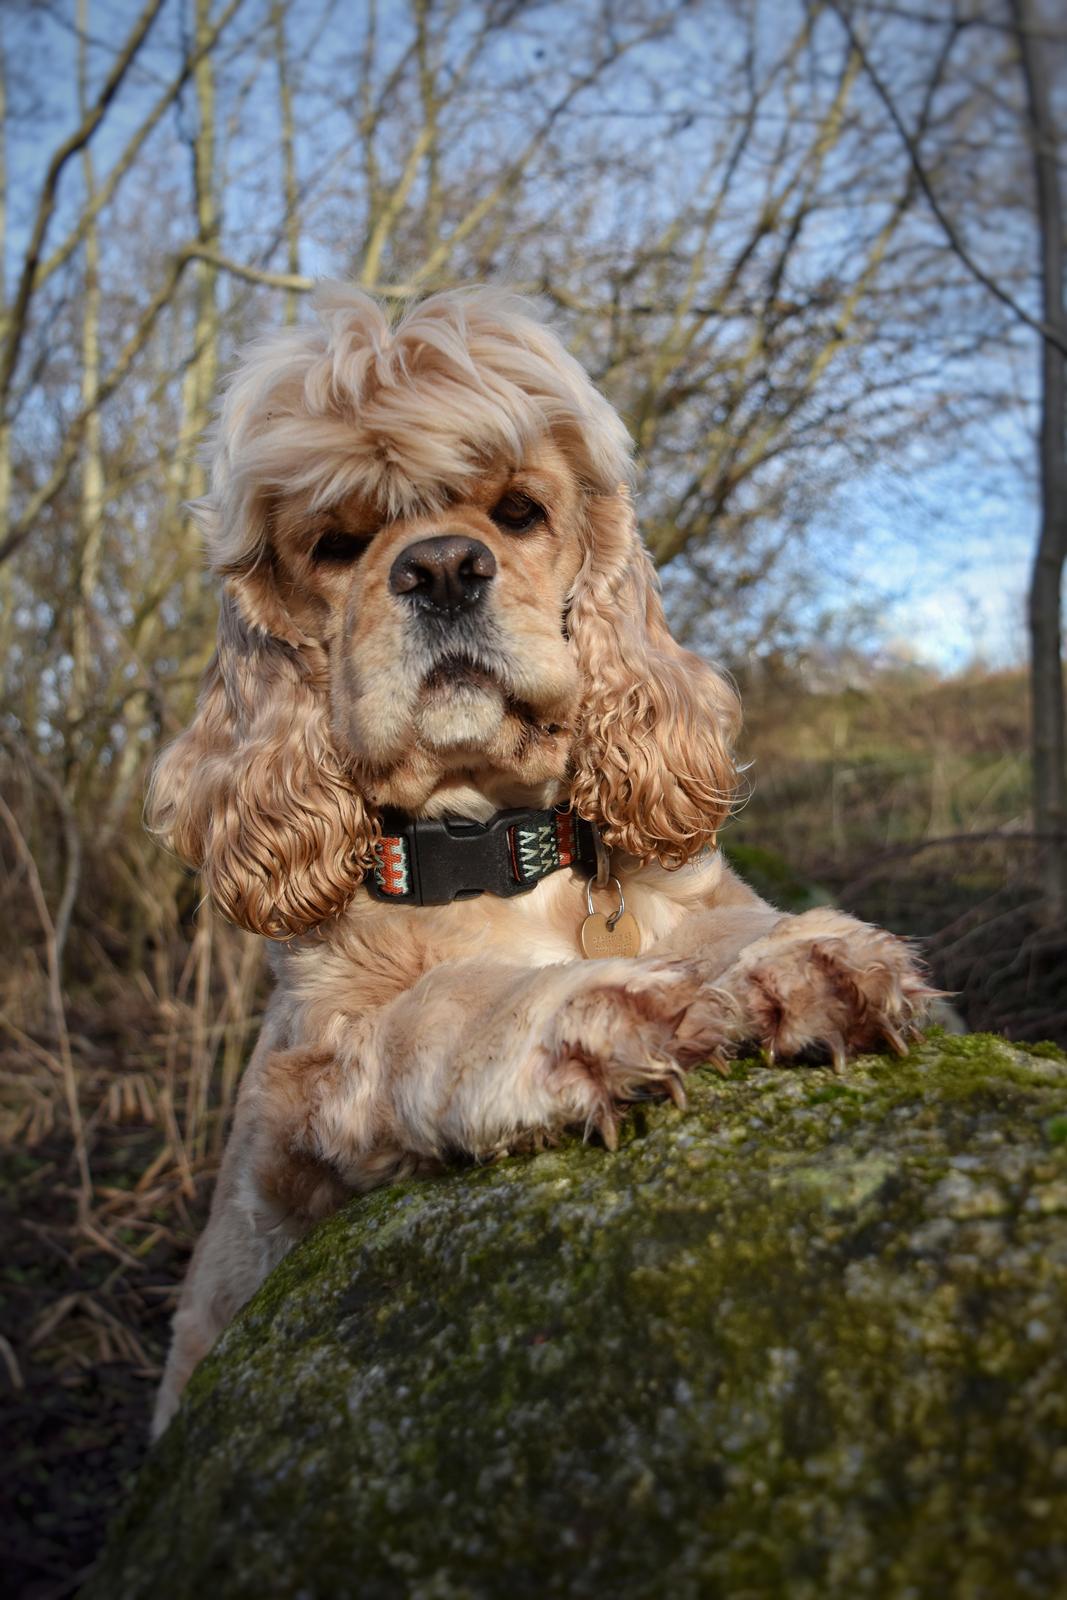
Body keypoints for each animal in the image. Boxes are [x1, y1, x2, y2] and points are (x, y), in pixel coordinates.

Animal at [146, 288, 927, 1440]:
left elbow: (735, 925)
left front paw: (807, 957)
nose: (439, 567)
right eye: (336, 543)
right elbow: (445, 1008)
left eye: (517, 514)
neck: (498, 838)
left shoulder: (683, 890)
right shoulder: (301, 1095)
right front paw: (591, 1014)